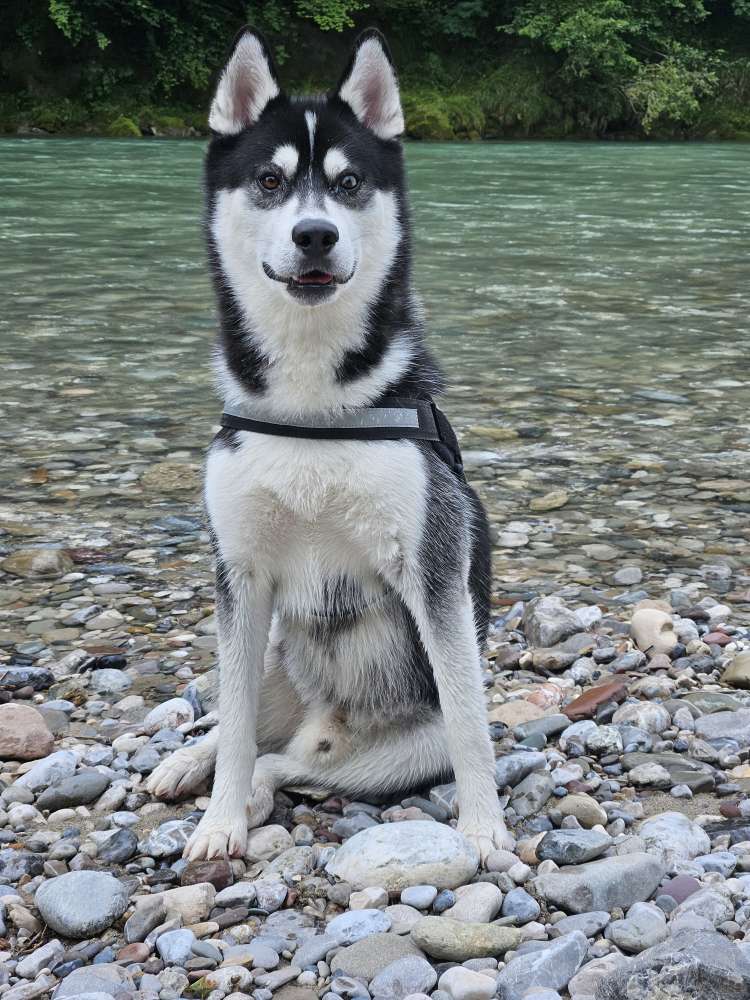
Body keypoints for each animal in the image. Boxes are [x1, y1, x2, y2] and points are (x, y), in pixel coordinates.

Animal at [145, 29, 516, 860]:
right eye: (269, 180)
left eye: (348, 185)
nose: (314, 234)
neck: (313, 404)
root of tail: (326, 728)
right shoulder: (240, 575)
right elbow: (234, 723)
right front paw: (217, 823)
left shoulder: (434, 571)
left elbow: (471, 728)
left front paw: (483, 830)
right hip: (273, 655)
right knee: (244, 725)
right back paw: (194, 766)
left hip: (392, 750)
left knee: (286, 765)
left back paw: (263, 787)